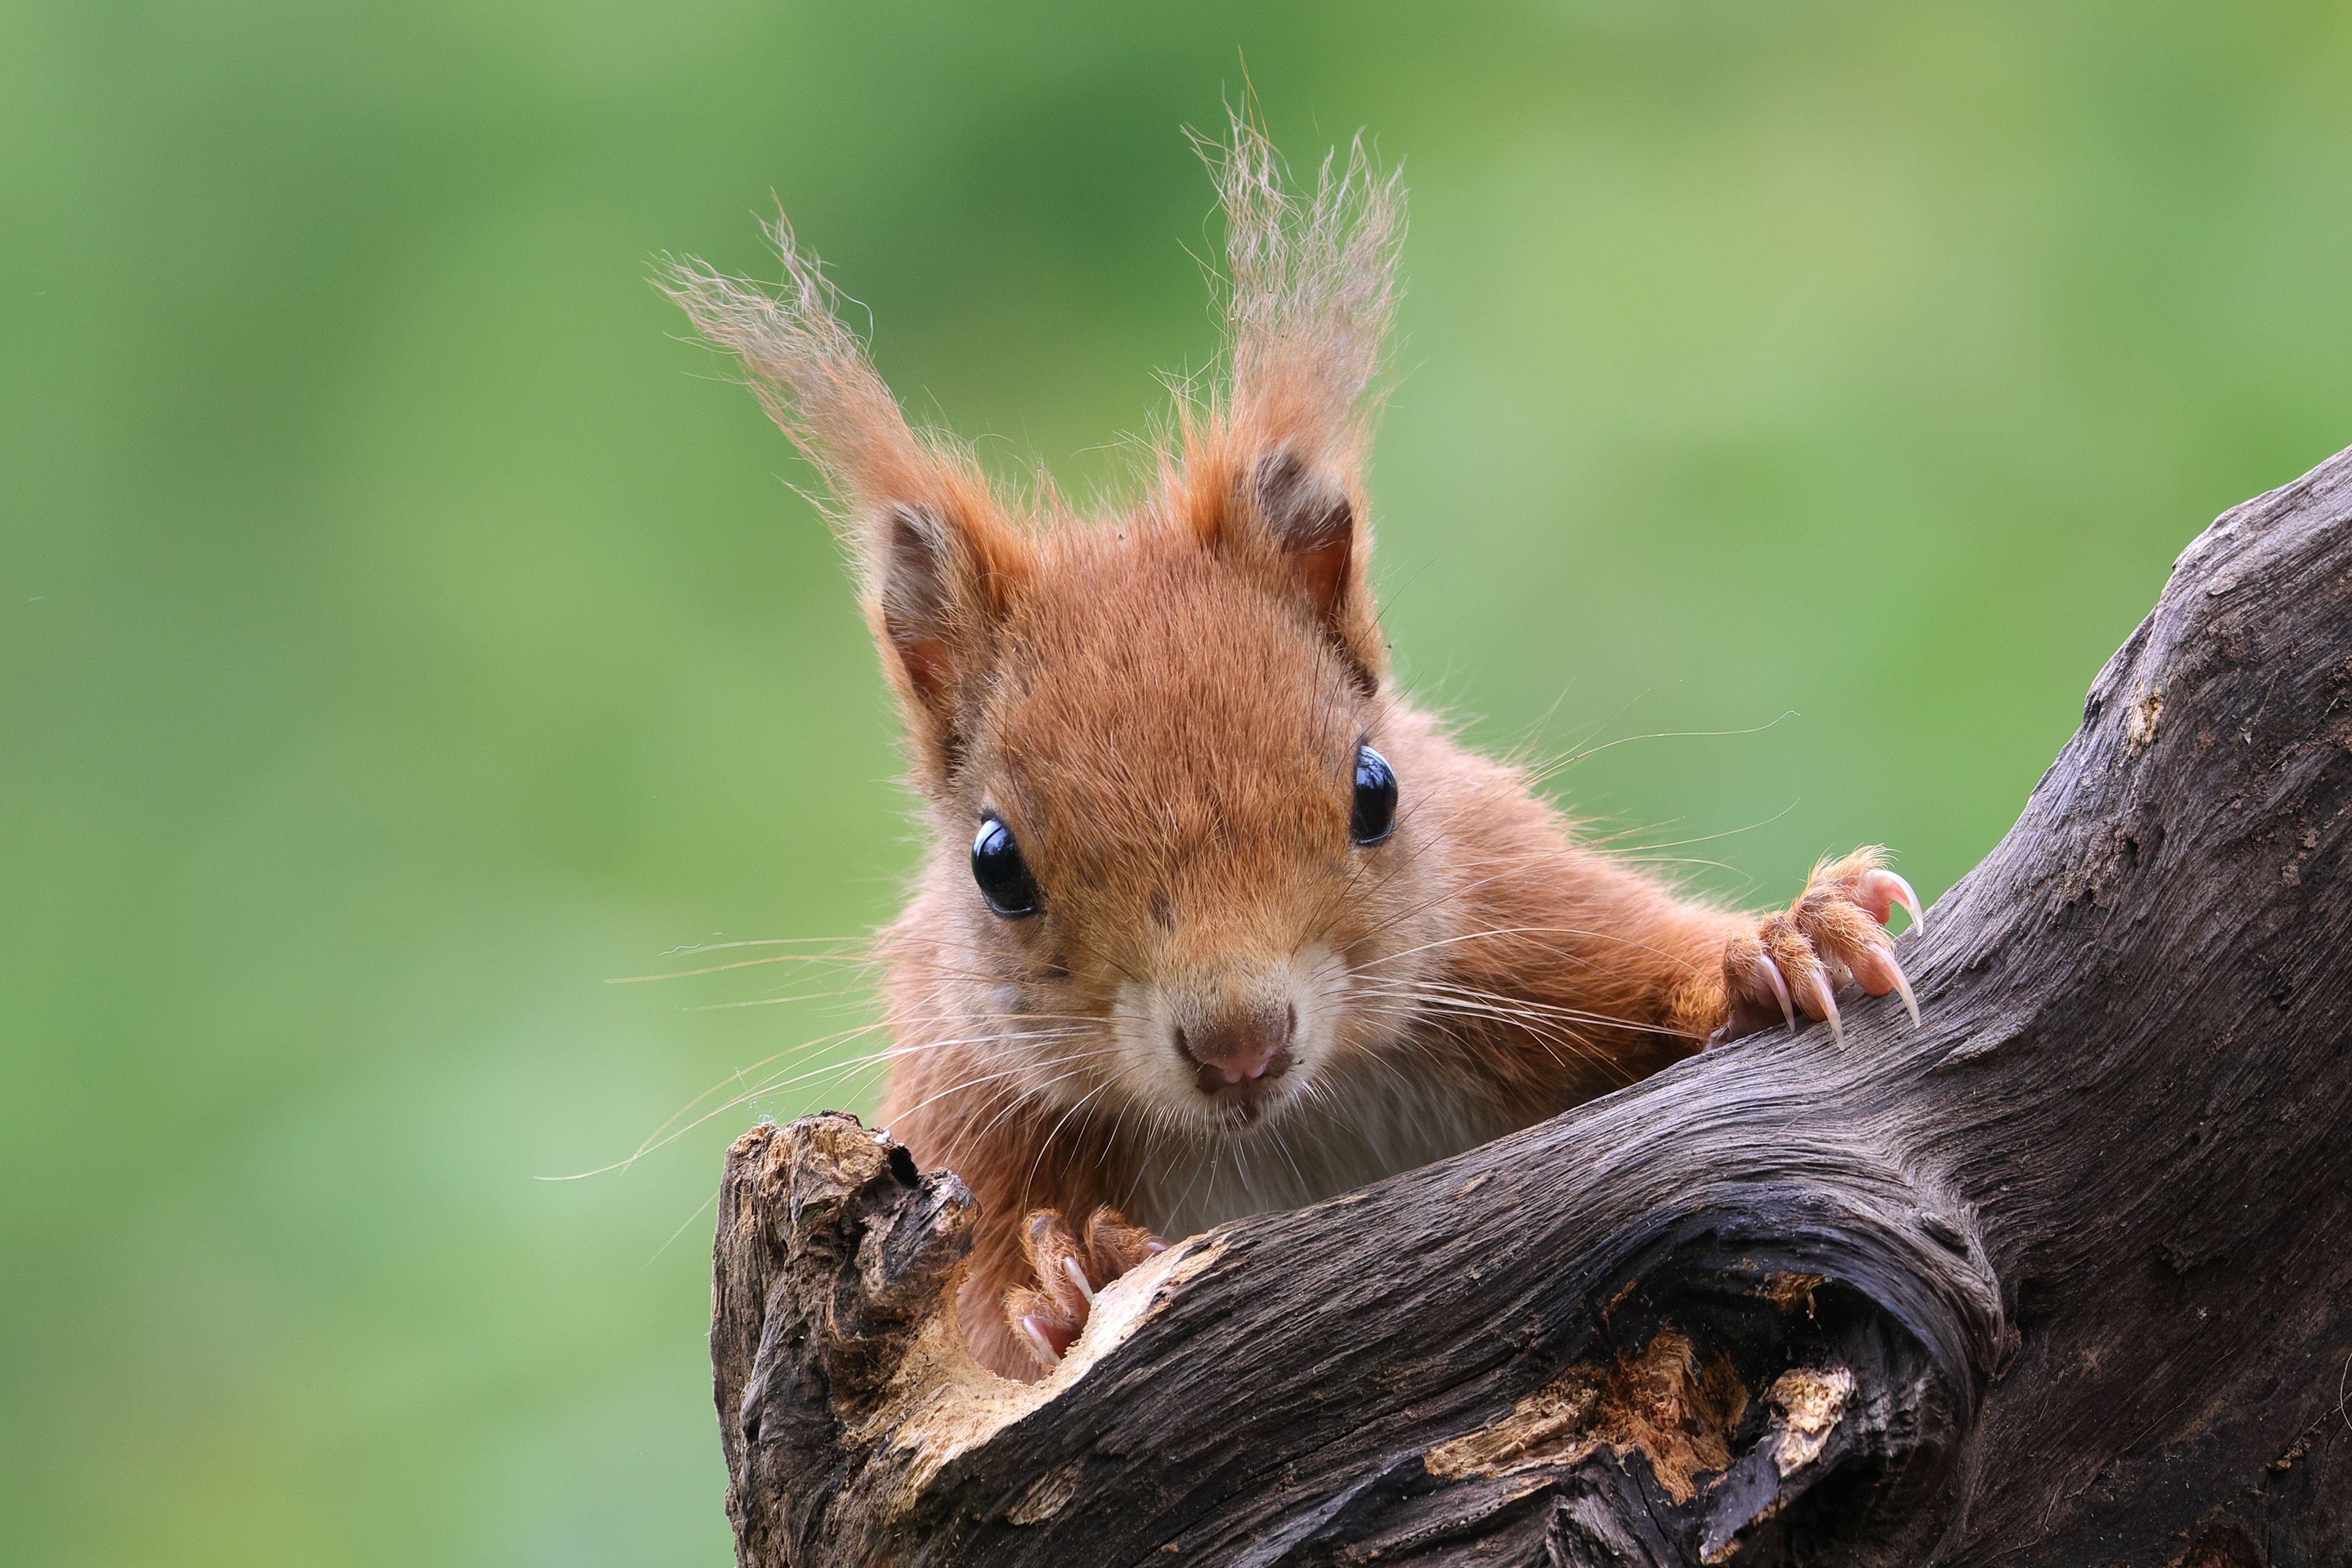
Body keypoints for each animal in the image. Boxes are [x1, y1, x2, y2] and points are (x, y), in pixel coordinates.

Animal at [664, 117, 1922, 1383]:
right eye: (995, 865)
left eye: (1377, 790)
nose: (1238, 1044)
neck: (1295, 1118)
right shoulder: (965, 1105)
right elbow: (965, 1328)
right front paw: (1051, 1285)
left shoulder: (1516, 912)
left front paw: (1783, 943)